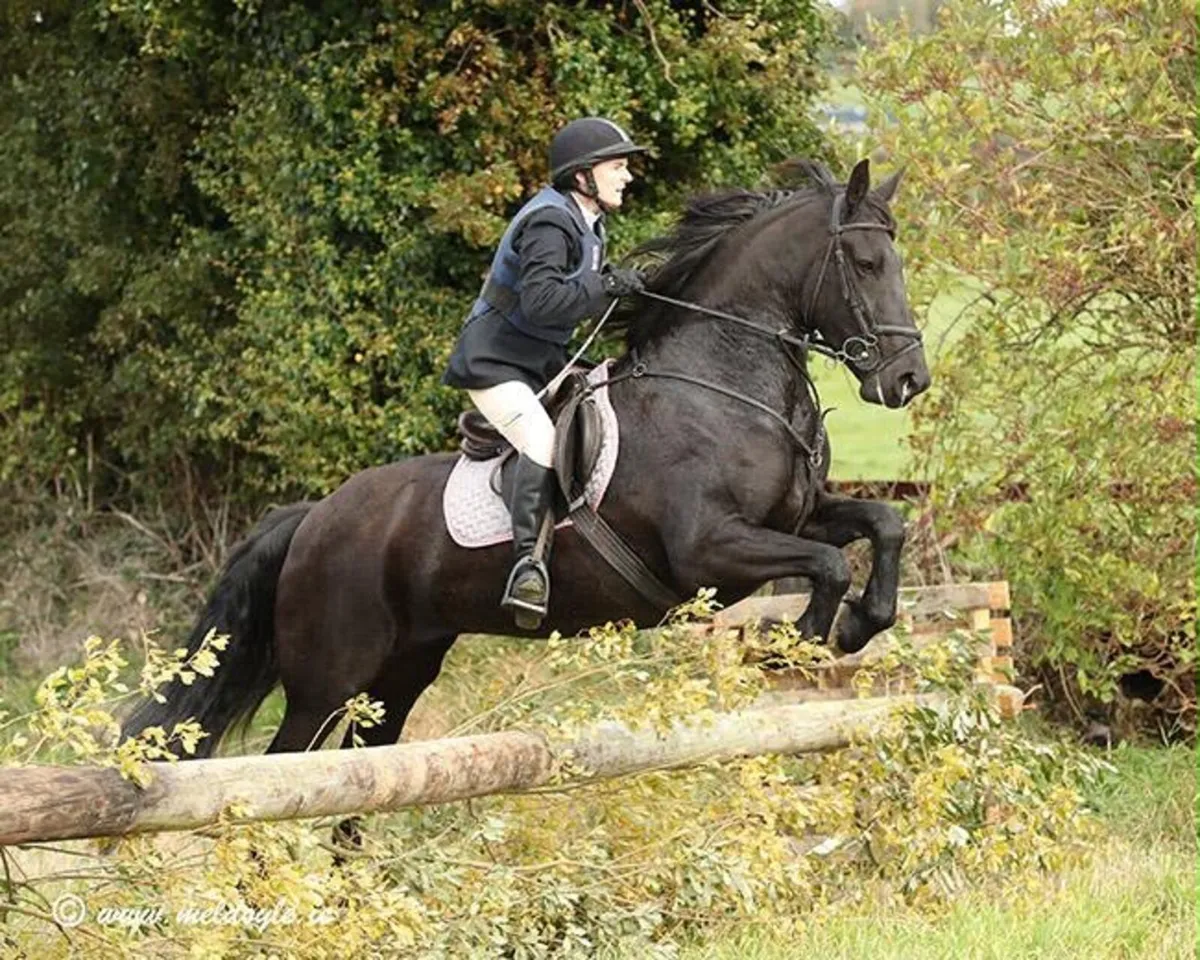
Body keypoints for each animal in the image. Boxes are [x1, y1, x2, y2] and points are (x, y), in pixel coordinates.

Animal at [121, 158, 930, 760]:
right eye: (865, 262)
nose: (908, 381)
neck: (721, 381)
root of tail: (315, 517)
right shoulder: (707, 550)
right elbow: (828, 566)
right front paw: (794, 645)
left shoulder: (799, 515)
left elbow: (881, 526)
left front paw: (856, 626)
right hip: (329, 679)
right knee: (287, 771)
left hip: (400, 674)